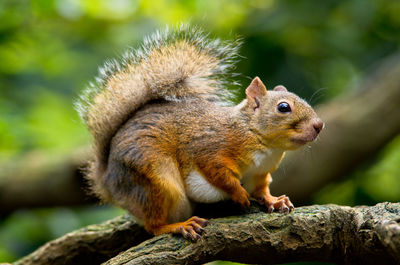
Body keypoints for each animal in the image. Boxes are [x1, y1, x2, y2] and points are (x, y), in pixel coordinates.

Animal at [76, 24, 324, 239]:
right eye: (283, 107)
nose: (319, 125)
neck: (259, 139)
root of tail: (107, 180)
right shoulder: (210, 148)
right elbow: (220, 175)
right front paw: (239, 194)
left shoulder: (260, 173)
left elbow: (261, 189)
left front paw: (274, 201)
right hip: (154, 179)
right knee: (154, 226)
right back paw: (179, 225)